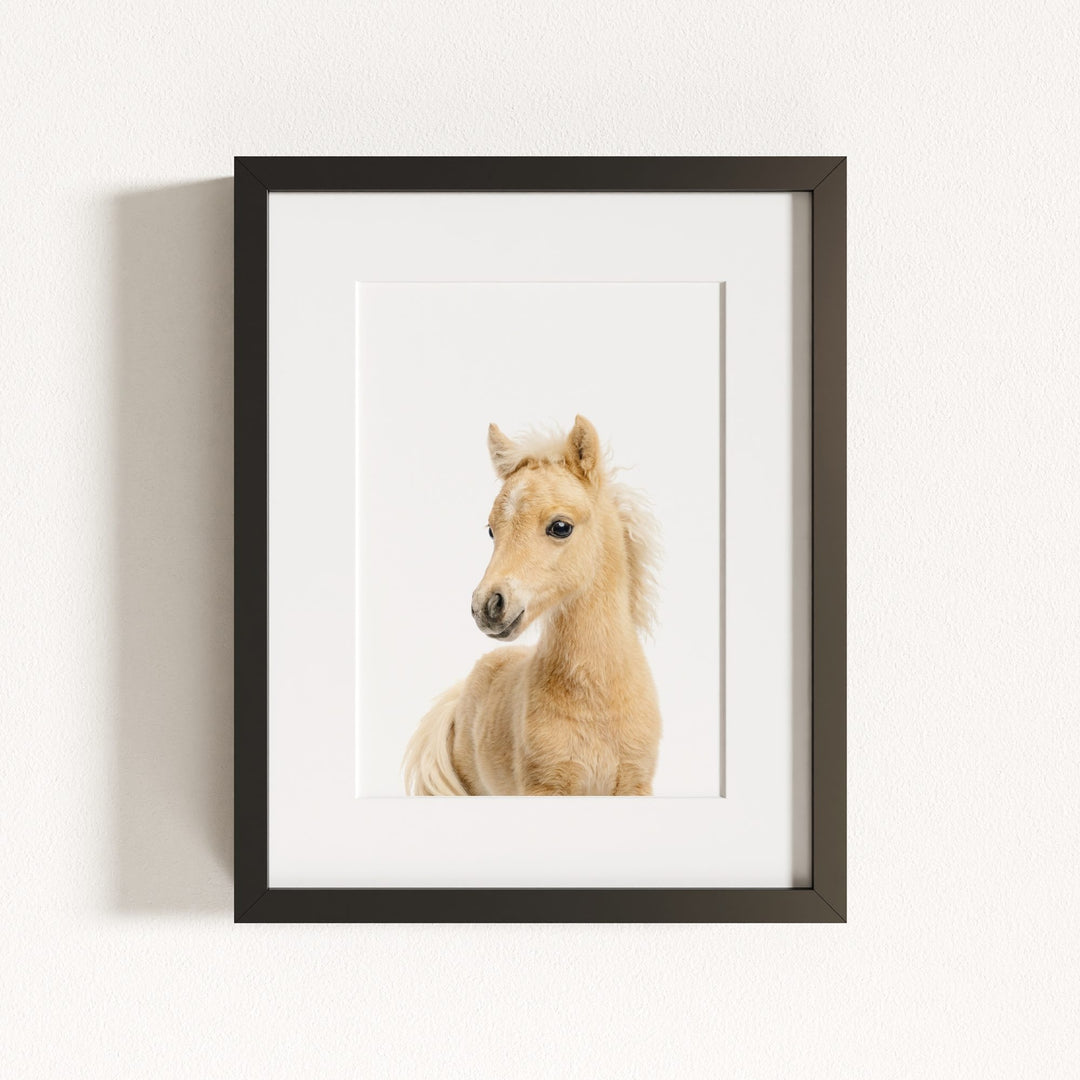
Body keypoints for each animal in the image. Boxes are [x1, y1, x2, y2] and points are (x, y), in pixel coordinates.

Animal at [403, 415, 662, 796]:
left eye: (561, 526)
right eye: (492, 530)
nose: (487, 606)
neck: (597, 700)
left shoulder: (635, 785)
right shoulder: (543, 788)